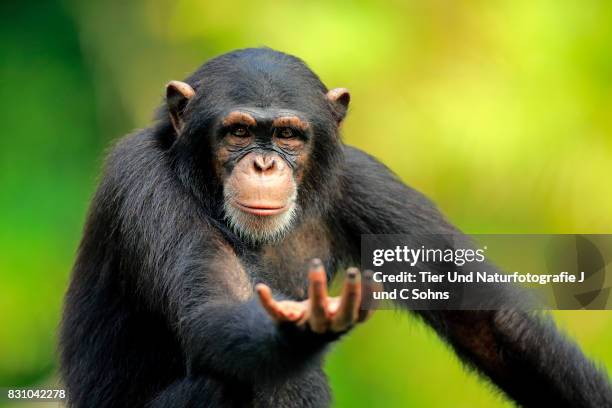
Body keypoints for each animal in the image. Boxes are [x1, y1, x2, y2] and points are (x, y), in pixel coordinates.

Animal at [61, 47, 612, 404]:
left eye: (288, 135)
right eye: (238, 131)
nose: (265, 164)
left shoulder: (365, 183)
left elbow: (485, 320)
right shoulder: (144, 184)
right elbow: (212, 315)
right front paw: (304, 325)